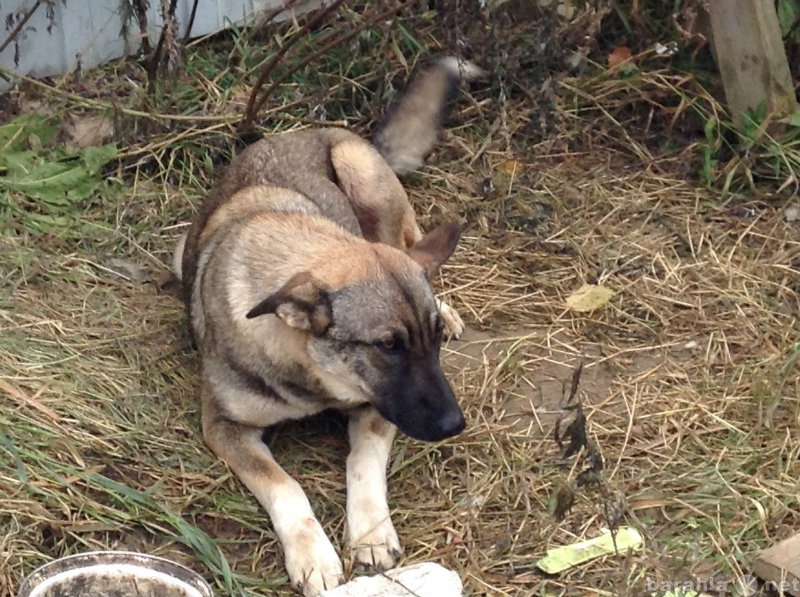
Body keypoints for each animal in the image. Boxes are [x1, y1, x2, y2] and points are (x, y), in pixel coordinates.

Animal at [174, 57, 484, 596]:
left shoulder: (379, 408)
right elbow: (285, 485)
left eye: (433, 344)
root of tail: (308, 130)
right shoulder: (224, 427)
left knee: (412, 243)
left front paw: (372, 535)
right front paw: (313, 555)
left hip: (363, 176)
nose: (454, 426)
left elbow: (363, 465)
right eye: (388, 346)